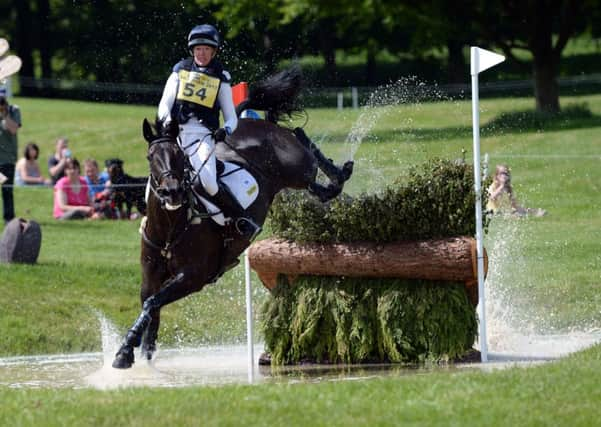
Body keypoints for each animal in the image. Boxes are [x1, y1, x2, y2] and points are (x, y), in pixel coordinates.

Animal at [112, 68, 352, 370]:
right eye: (150, 156)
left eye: (179, 156)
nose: (172, 192)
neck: (170, 228)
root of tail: (249, 122)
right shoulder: (151, 275)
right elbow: (150, 309)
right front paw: (139, 354)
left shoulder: (193, 277)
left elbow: (152, 304)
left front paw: (125, 351)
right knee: (314, 173)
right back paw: (333, 181)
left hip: (295, 167)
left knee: (304, 146)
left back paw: (340, 172)